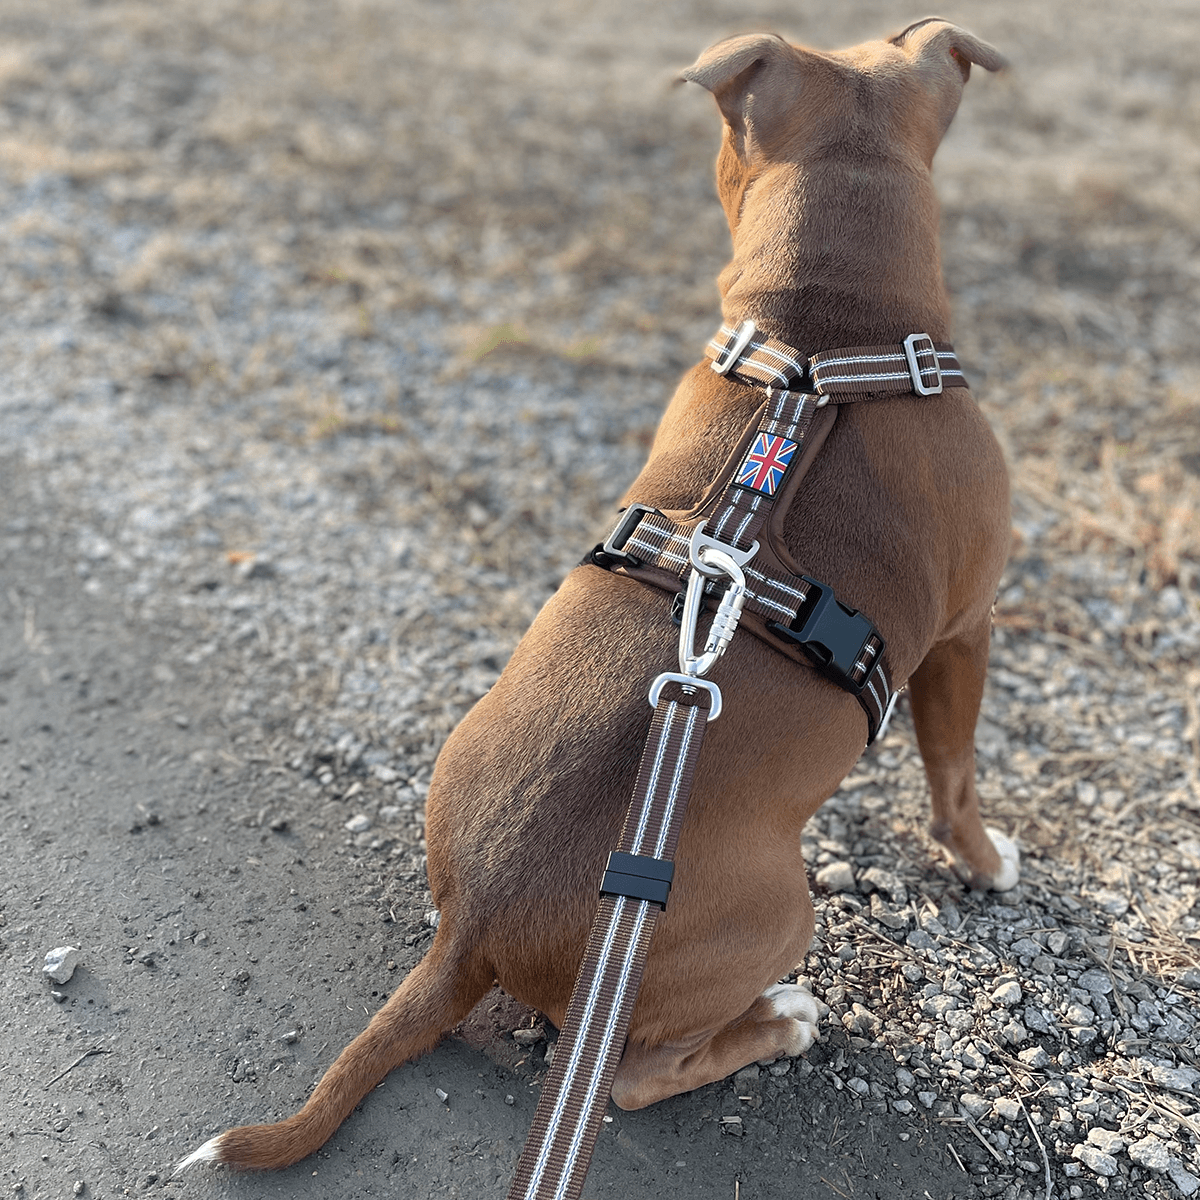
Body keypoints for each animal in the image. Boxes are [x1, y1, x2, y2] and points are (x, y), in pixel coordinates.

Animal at [182, 18, 1017, 1176]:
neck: (823, 340)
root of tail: (473, 928)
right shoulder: (969, 631)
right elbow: (958, 780)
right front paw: (987, 862)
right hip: (775, 914)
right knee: (633, 1078)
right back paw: (782, 1022)